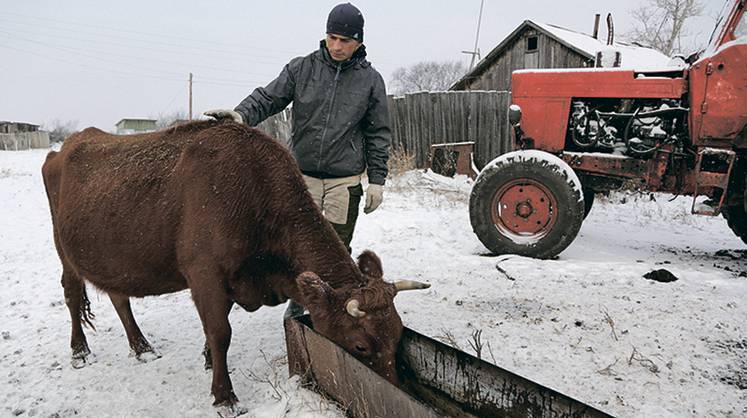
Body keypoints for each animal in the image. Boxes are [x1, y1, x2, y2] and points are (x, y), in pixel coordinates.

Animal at [41, 121, 430, 414]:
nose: (393, 391)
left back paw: (141, 347)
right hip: (64, 250)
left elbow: (215, 329)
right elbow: (220, 332)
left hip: (115, 260)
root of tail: (68, 144)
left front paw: (207, 359)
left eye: (398, 335)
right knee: (72, 295)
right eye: (361, 346)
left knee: (119, 298)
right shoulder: (204, 275)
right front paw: (225, 396)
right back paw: (79, 351)